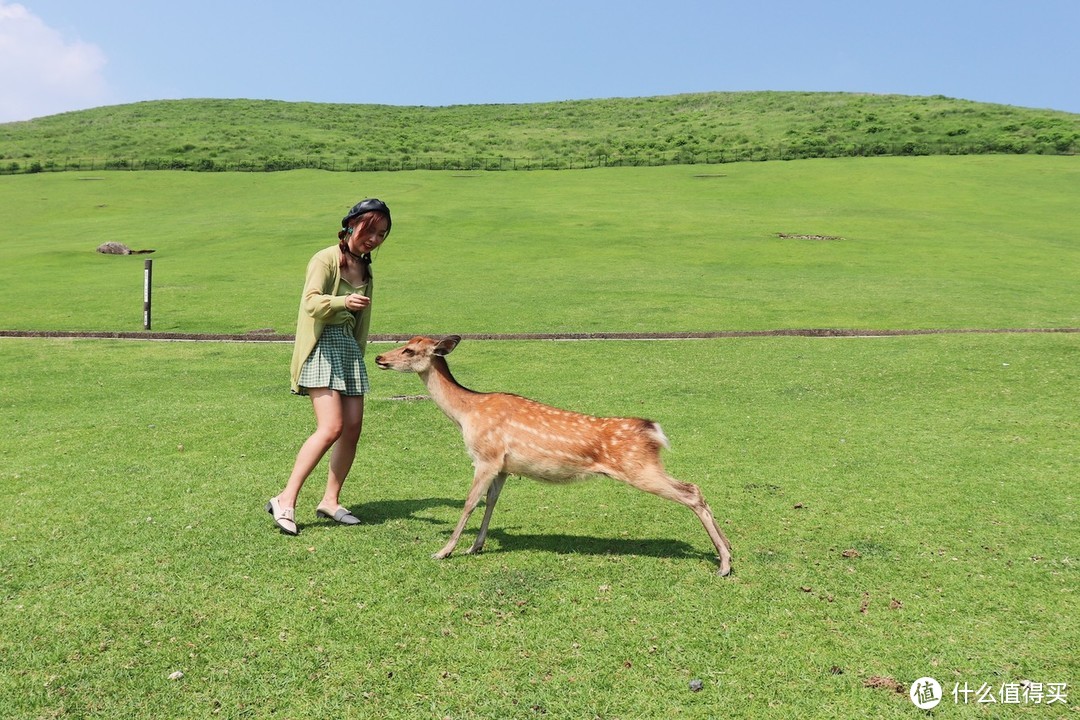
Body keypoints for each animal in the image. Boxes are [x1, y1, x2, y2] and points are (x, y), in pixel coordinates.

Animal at [371, 334, 734, 578]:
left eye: (409, 349)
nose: (378, 357)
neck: (466, 414)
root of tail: (653, 430)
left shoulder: (486, 456)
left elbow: (469, 503)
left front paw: (444, 551)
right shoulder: (504, 466)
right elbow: (491, 502)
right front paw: (476, 546)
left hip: (639, 467)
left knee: (691, 491)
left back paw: (724, 564)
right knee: (695, 489)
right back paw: (730, 551)